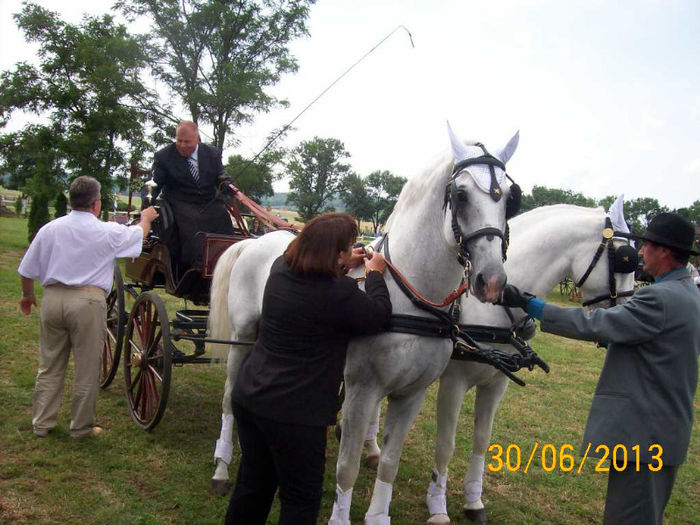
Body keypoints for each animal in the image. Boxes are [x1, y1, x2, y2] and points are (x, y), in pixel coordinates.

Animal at [208, 125, 520, 520]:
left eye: (510, 197)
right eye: (461, 195)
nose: (491, 281)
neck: (411, 295)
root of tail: (255, 241)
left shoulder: (412, 393)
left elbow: (389, 462)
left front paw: (378, 515)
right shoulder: (361, 389)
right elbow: (347, 467)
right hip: (241, 337)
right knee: (229, 399)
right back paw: (221, 467)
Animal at [422, 203, 640, 520]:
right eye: (625, 259)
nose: (628, 308)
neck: (489, 311)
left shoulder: (496, 383)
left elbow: (482, 439)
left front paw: (474, 501)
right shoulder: (454, 382)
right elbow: (445, 445)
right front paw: (438, 506)